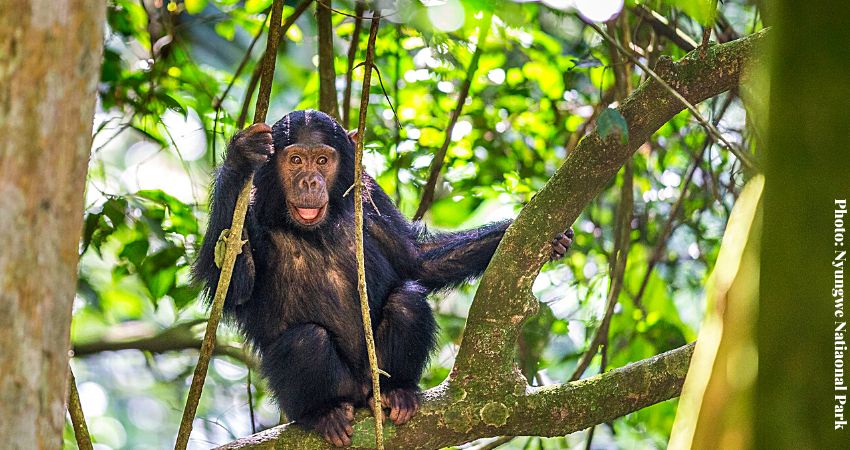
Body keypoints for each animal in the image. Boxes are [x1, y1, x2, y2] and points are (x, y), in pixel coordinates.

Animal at [192, 110, 572, 446]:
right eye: (296, 160)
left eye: (322, 160)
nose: (310, 181)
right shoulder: (251, 206)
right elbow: (233, 283)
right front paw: (241, 155)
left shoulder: (369, 192)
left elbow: (415, 261)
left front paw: (547, 237)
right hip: (323, 391)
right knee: (305, 339)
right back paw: (325, 413)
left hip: (376, 375)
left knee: (407, 299)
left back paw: (397, 392)